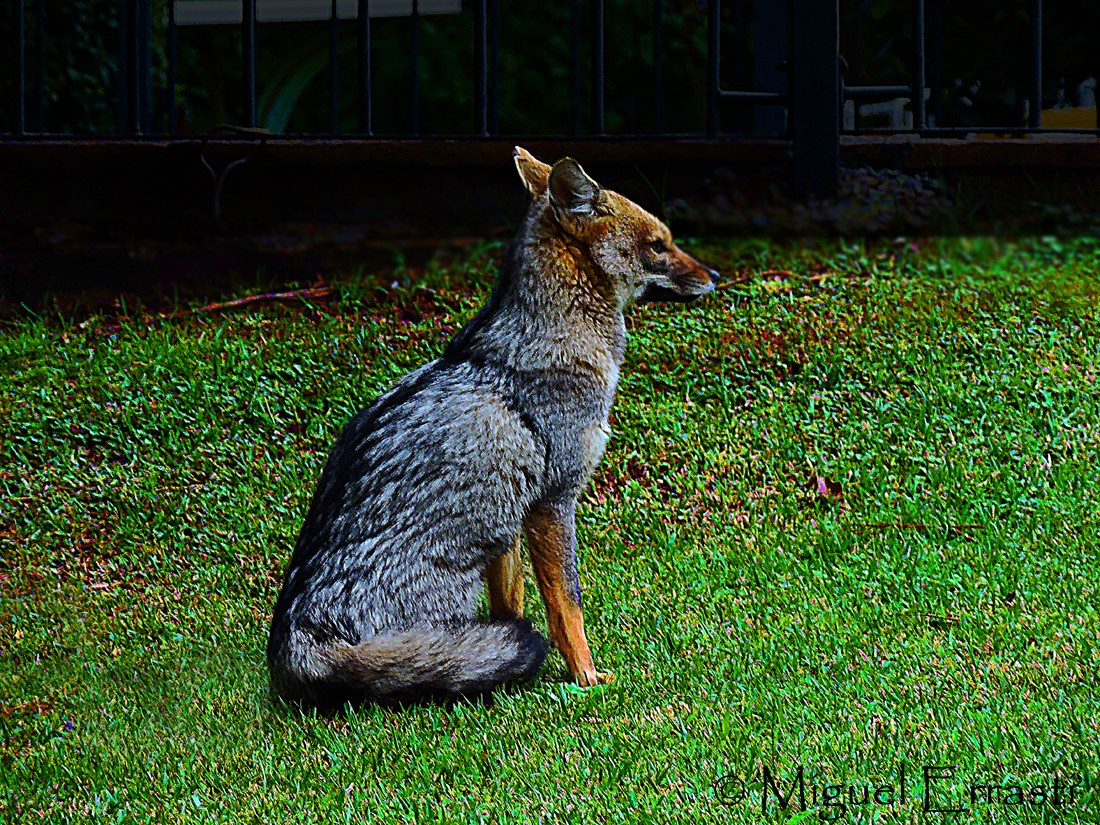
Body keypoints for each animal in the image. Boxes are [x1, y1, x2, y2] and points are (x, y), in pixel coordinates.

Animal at [261, 148, 717, 712]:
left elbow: (512, 604)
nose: (716, 275)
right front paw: (586, 677)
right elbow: (568, 605)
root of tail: (294, 645)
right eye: (659, 245)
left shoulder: (513, 518)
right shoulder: (552, 502)